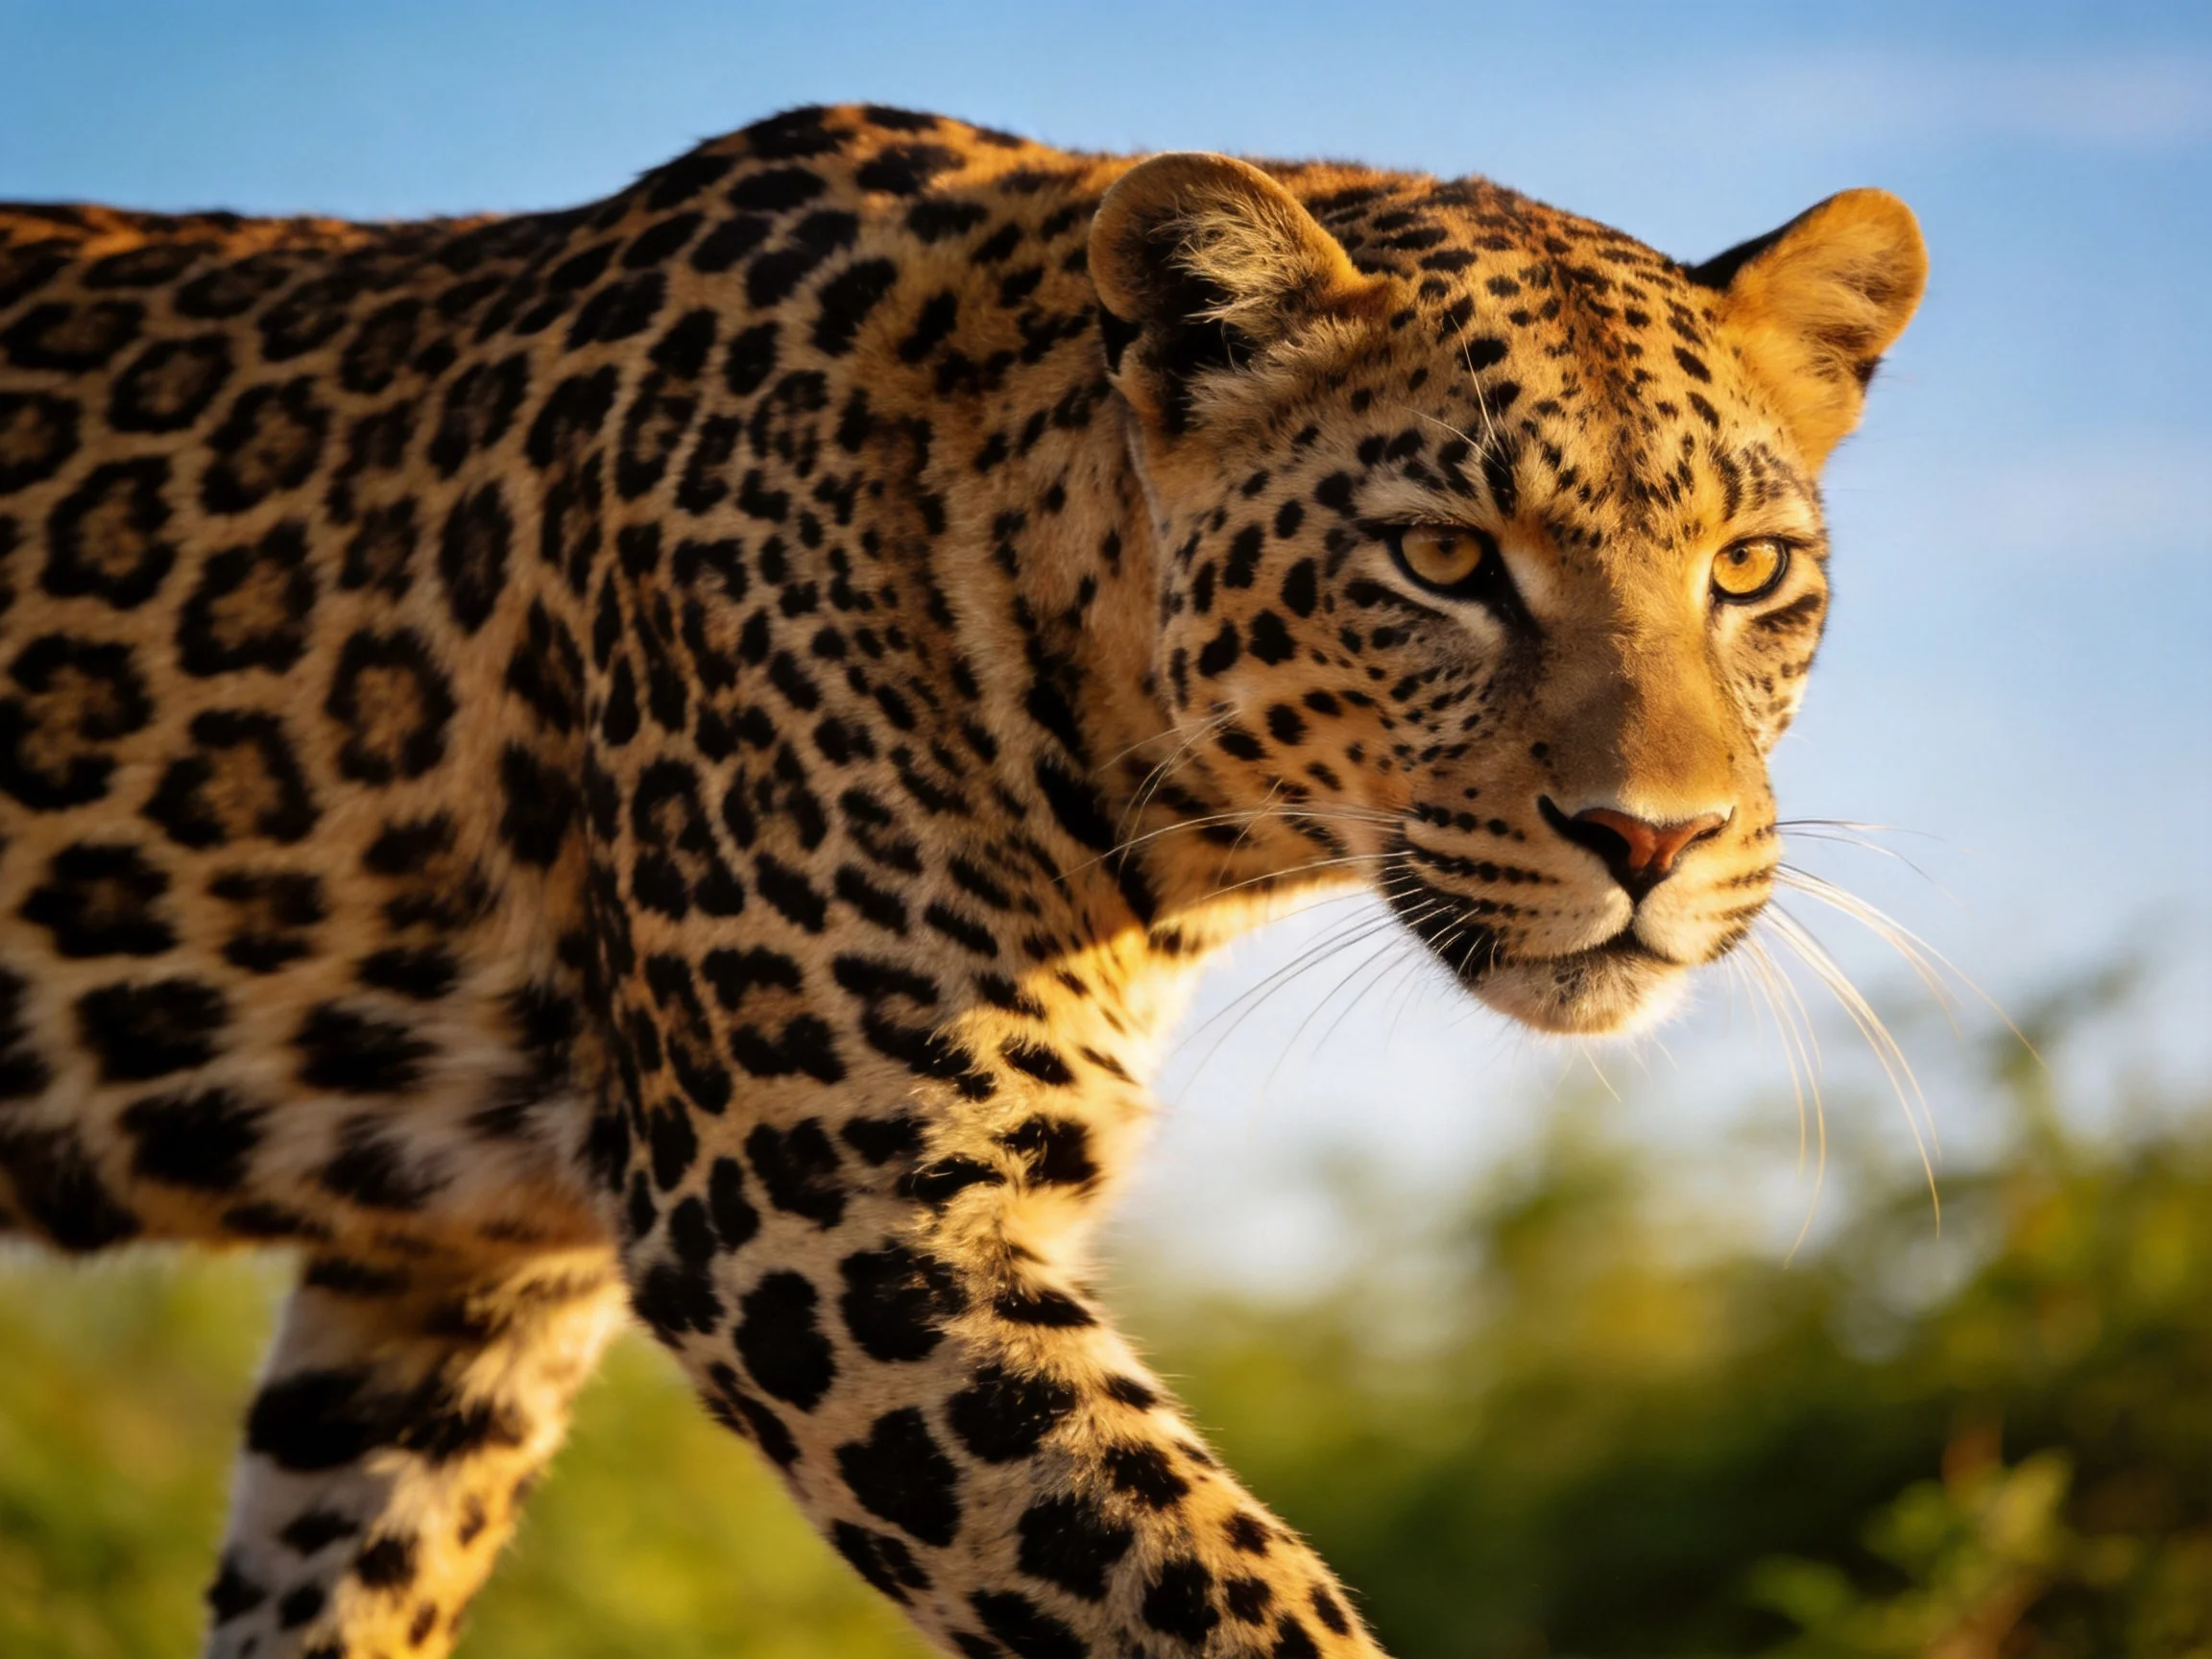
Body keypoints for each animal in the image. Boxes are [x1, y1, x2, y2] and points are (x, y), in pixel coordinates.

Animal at [0, 102, 1925, 1659]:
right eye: (1442, 559)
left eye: (1748, 569)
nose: (1654, 839)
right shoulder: (824, 1212)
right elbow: (1226, 1600)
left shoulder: (455, 1271)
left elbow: (340, 1579)